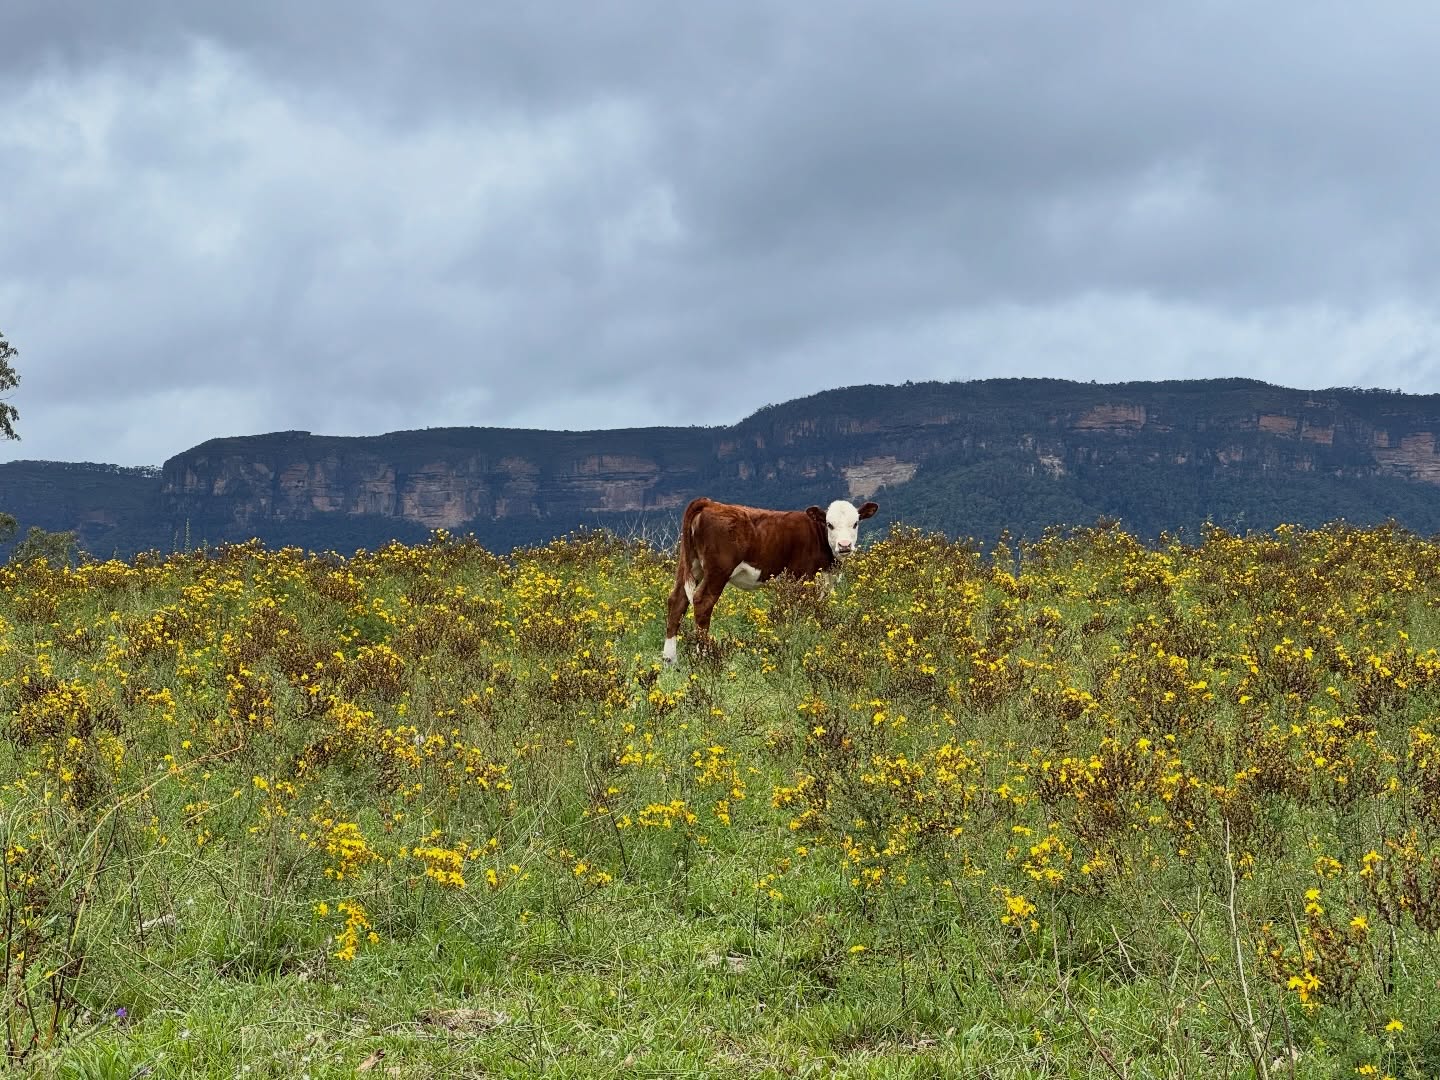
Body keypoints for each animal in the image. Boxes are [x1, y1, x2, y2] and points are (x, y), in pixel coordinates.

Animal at [661, 496, 879, 663]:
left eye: (855, 523)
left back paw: (669, 660)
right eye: (829, 524)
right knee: (702, 601)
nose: (845, 545)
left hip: (690, 564)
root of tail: (709, 503)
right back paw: (704, 657)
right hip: (718, 571)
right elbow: (801, 613)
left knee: (677, 600)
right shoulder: (802, 578)